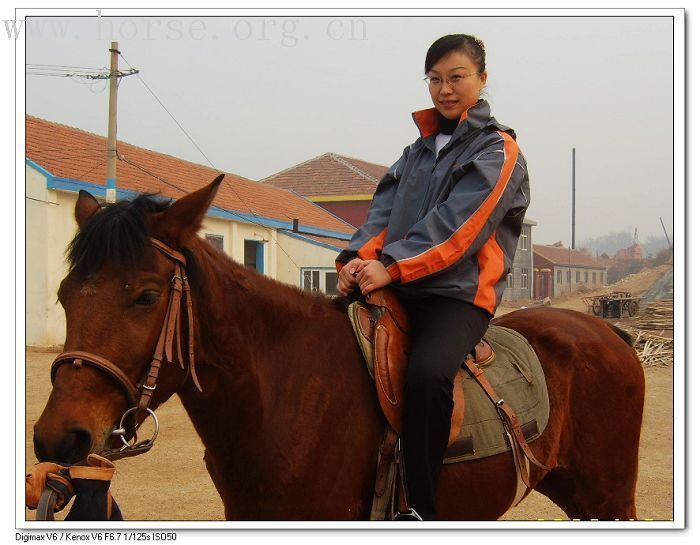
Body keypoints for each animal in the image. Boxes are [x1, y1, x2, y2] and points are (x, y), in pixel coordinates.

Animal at [32, 177, 644, 520]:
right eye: (64, 294)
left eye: (146, 295)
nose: (59, 436)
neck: (284, 397)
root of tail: (606, 334)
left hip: (608, 500)